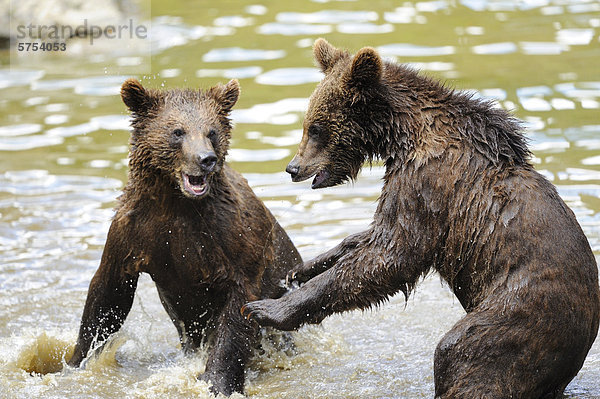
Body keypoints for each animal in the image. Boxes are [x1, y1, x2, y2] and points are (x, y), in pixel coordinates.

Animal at [67, 78, 302, 396]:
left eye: (211, 131)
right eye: (177, 132)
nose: (206, 159)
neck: (175, 201)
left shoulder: (230, 236)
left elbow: (239, 307)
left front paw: (218, 380)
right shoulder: (133, 233)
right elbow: (108, 296)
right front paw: (73, 361)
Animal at [243, 38, 600, 399]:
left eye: (315, 128)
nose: (292, 168)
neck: (403, 134)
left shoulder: (426, 182)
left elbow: (393, 253)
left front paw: (265, 309)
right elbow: (372, 237)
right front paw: (303, 269)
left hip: (521, 309)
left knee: (464, 353)